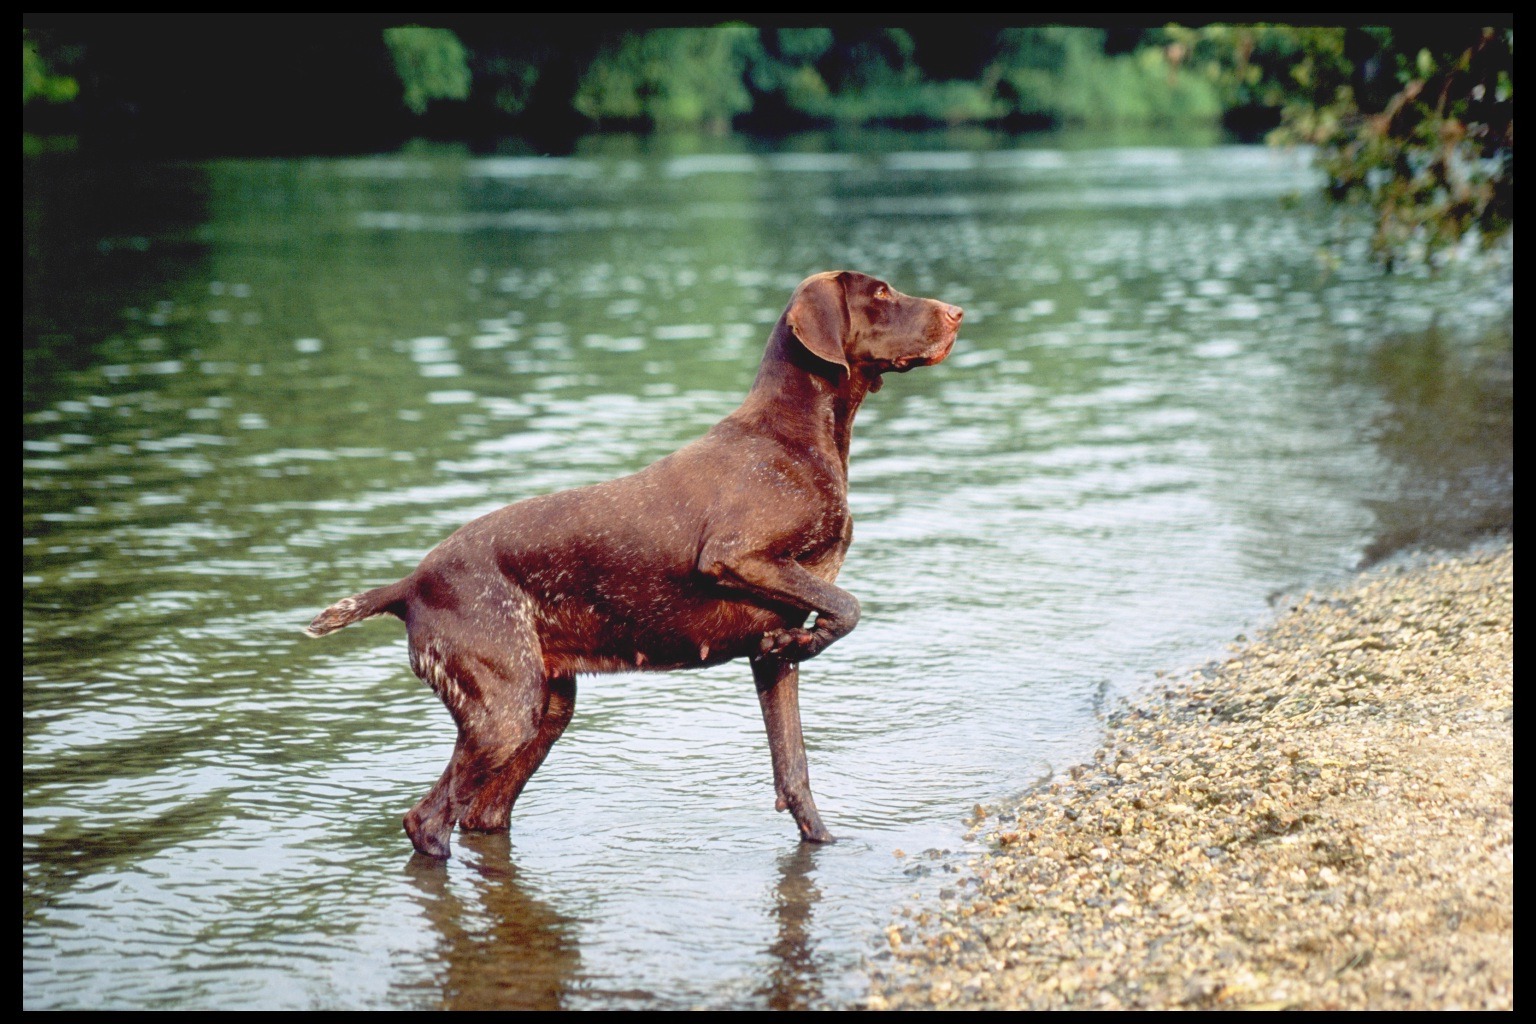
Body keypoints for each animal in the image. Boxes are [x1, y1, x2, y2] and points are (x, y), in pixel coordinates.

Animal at [304, 271, 958, 859]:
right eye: (881, 294)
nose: (956, 312)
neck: (794, 435)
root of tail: (411, 583)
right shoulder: (736, 556)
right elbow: (848, 606)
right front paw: (818, 636)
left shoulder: (769, 655)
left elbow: (794, 769)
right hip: (503, 716)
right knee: (428, 821)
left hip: (544, 711)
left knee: (482, 816)